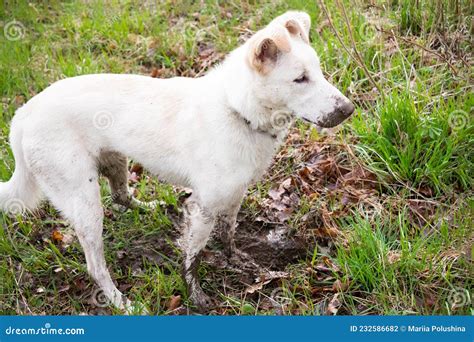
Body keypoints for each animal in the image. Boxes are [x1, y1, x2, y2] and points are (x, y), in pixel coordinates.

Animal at [0, 10, 352, 312]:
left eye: (318, 71)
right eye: (300, 79)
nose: (348, 109)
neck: (237, 109)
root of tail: (23, 115)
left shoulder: (234, 194)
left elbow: (229, 233)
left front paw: (236, 260)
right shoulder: (203, 206)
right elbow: (193, 256)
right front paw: (195, 294)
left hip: (114, 161)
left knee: (121, 196)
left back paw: (152, 208)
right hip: (84, 201)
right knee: (95, 267)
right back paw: (121, 303)